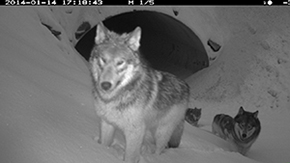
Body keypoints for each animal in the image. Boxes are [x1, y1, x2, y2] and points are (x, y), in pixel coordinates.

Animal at [90, 22, 190, 163]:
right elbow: (104, 144)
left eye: (120, 62)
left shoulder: (135, 132)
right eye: (103, 59)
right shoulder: (107, 123)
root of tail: (185, 85)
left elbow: (130, 157)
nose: (105, 85)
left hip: (161, 132)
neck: (114, 99)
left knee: (159, 150)